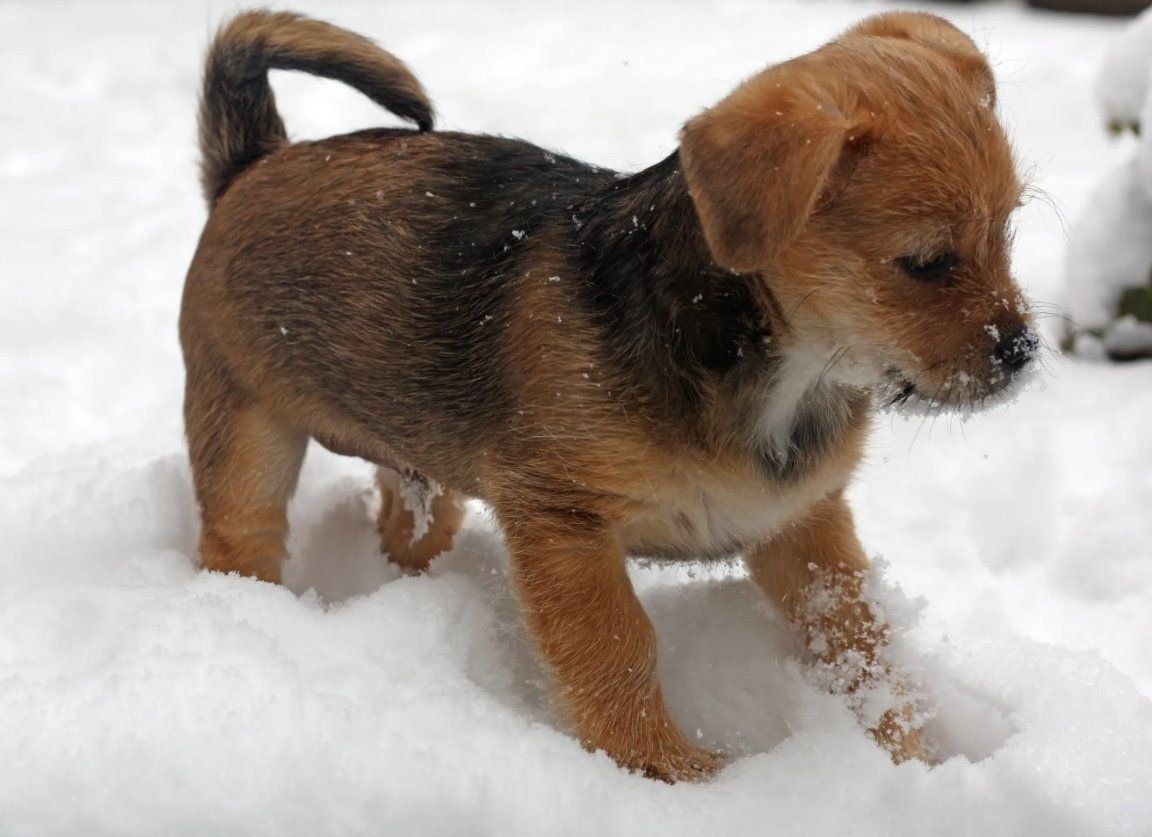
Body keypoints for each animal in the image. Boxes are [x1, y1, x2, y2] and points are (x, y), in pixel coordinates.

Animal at [182, 11, 1036, 787]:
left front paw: (908, 760)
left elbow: (861, 642)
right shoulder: (565, 522)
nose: (1023, 351)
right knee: (240, 537)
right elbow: (618, 648)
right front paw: (669, 773)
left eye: (1007, 231)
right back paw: (248, 614)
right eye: (925, 262)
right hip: (244, 432)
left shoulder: (802, 523)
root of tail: (253, 162)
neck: (777, 367)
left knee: (407, 519)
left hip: (418, 451)